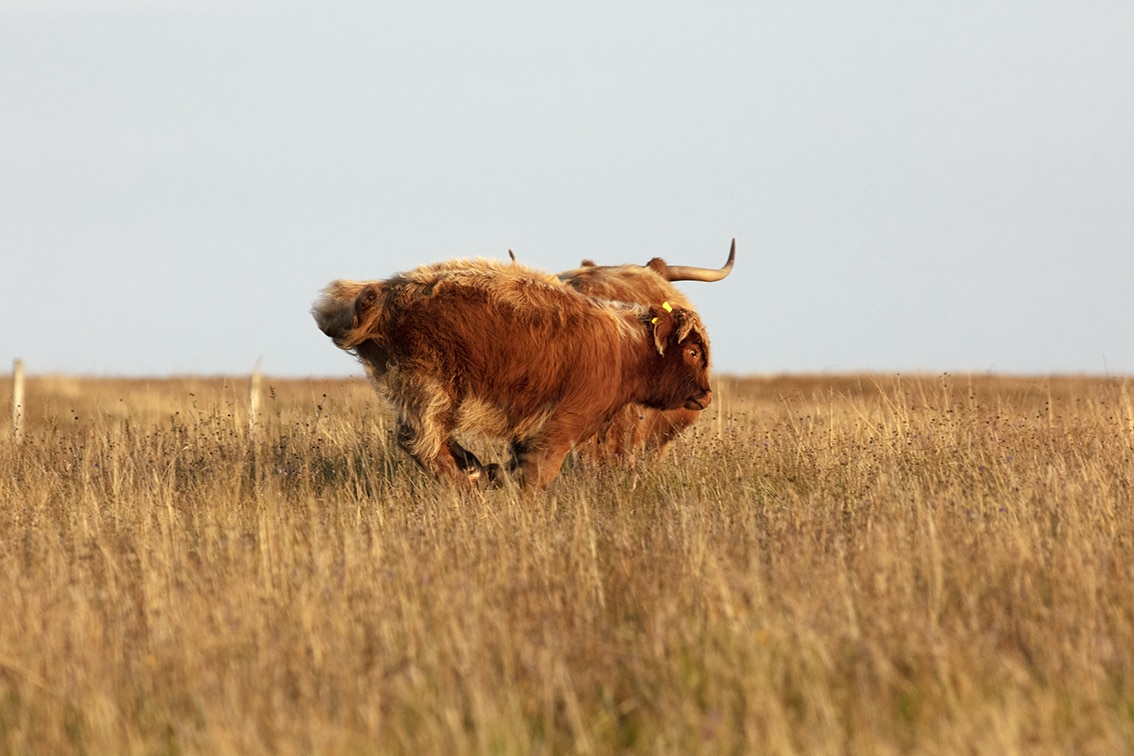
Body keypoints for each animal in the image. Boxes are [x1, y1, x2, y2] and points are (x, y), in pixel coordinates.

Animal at [315, 260, 712, 491]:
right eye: (692, 352)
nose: (706, 394)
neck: (625, 347)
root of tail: (383, 291)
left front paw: (495, 475)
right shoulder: (562, 425)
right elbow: (539, 473)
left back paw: (474, 468)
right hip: (433, 387)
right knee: (420, 441)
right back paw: (466, 482)